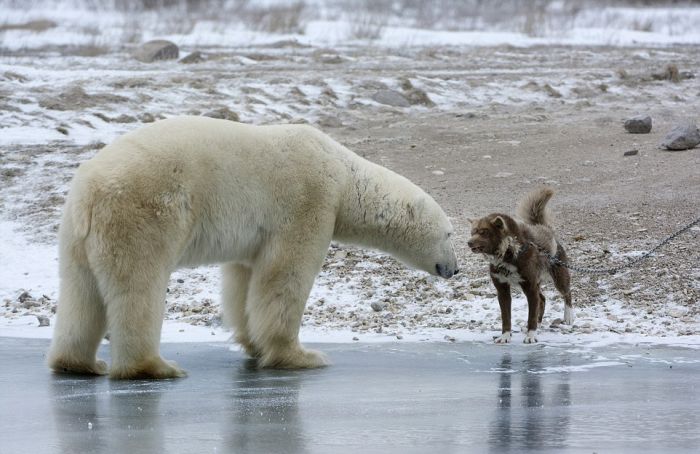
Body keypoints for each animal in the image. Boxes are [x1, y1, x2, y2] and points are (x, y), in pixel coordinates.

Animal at [45, 115, 460, 378]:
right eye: (450, 234)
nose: (454, 269)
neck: (343, 175)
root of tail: (91, 192)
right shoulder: (308, 202)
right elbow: (284, 276)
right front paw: (301, 356)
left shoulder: (254, 235)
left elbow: (243, 279)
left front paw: (253, 345)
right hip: (143, 214)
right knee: (138, 288)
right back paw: (154, 367)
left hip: (77, 233)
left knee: (80, 293)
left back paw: (79, 363)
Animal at [468, 188, 572, 344]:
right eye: (472, 232)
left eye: (483, 232)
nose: (469, 242)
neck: (509, 253)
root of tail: (545, 229)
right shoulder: (503, 290)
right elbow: (506, 317)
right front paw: (505, 336)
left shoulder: (530, 287)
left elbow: (531, 315)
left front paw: (531, 336)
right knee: (542, 299)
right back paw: (539, 323)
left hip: (559, 277)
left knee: (567, 294)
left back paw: (569, 317)